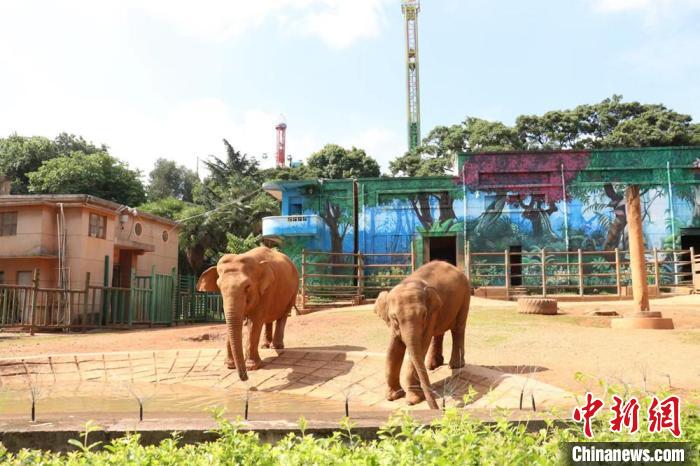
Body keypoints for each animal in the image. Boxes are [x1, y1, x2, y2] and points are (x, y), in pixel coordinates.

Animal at [196, 246, 299, 381]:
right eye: (219, 286)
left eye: (247, 286)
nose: (245, 378)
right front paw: (229, 366)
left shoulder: (265, 291)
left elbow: (255, 322)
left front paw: (251, 367)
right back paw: (265, 346)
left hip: (293, 291)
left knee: (283, 315)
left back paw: (277, 347)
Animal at [374, 260, 471, 410]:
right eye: (394, 318)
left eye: (423, 315)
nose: (440, 408)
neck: (409, 282)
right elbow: (393, 349)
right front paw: (393, 397)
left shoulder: (431, 314)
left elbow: (422, 345)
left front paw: (412, 401)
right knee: (439, 333)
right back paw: (432, 365)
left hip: (465, 295)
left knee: (458, 328)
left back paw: (455, 366)